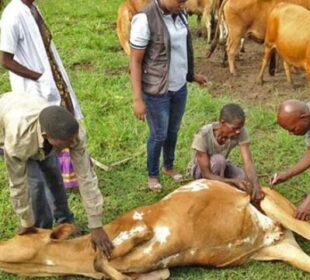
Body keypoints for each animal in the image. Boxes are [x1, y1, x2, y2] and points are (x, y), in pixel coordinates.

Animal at [0, 180, 310, 278]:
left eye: (24, 233)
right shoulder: (155, 270)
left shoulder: (138, 225)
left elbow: (102, 259)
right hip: (282, 248)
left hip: (271, 202)